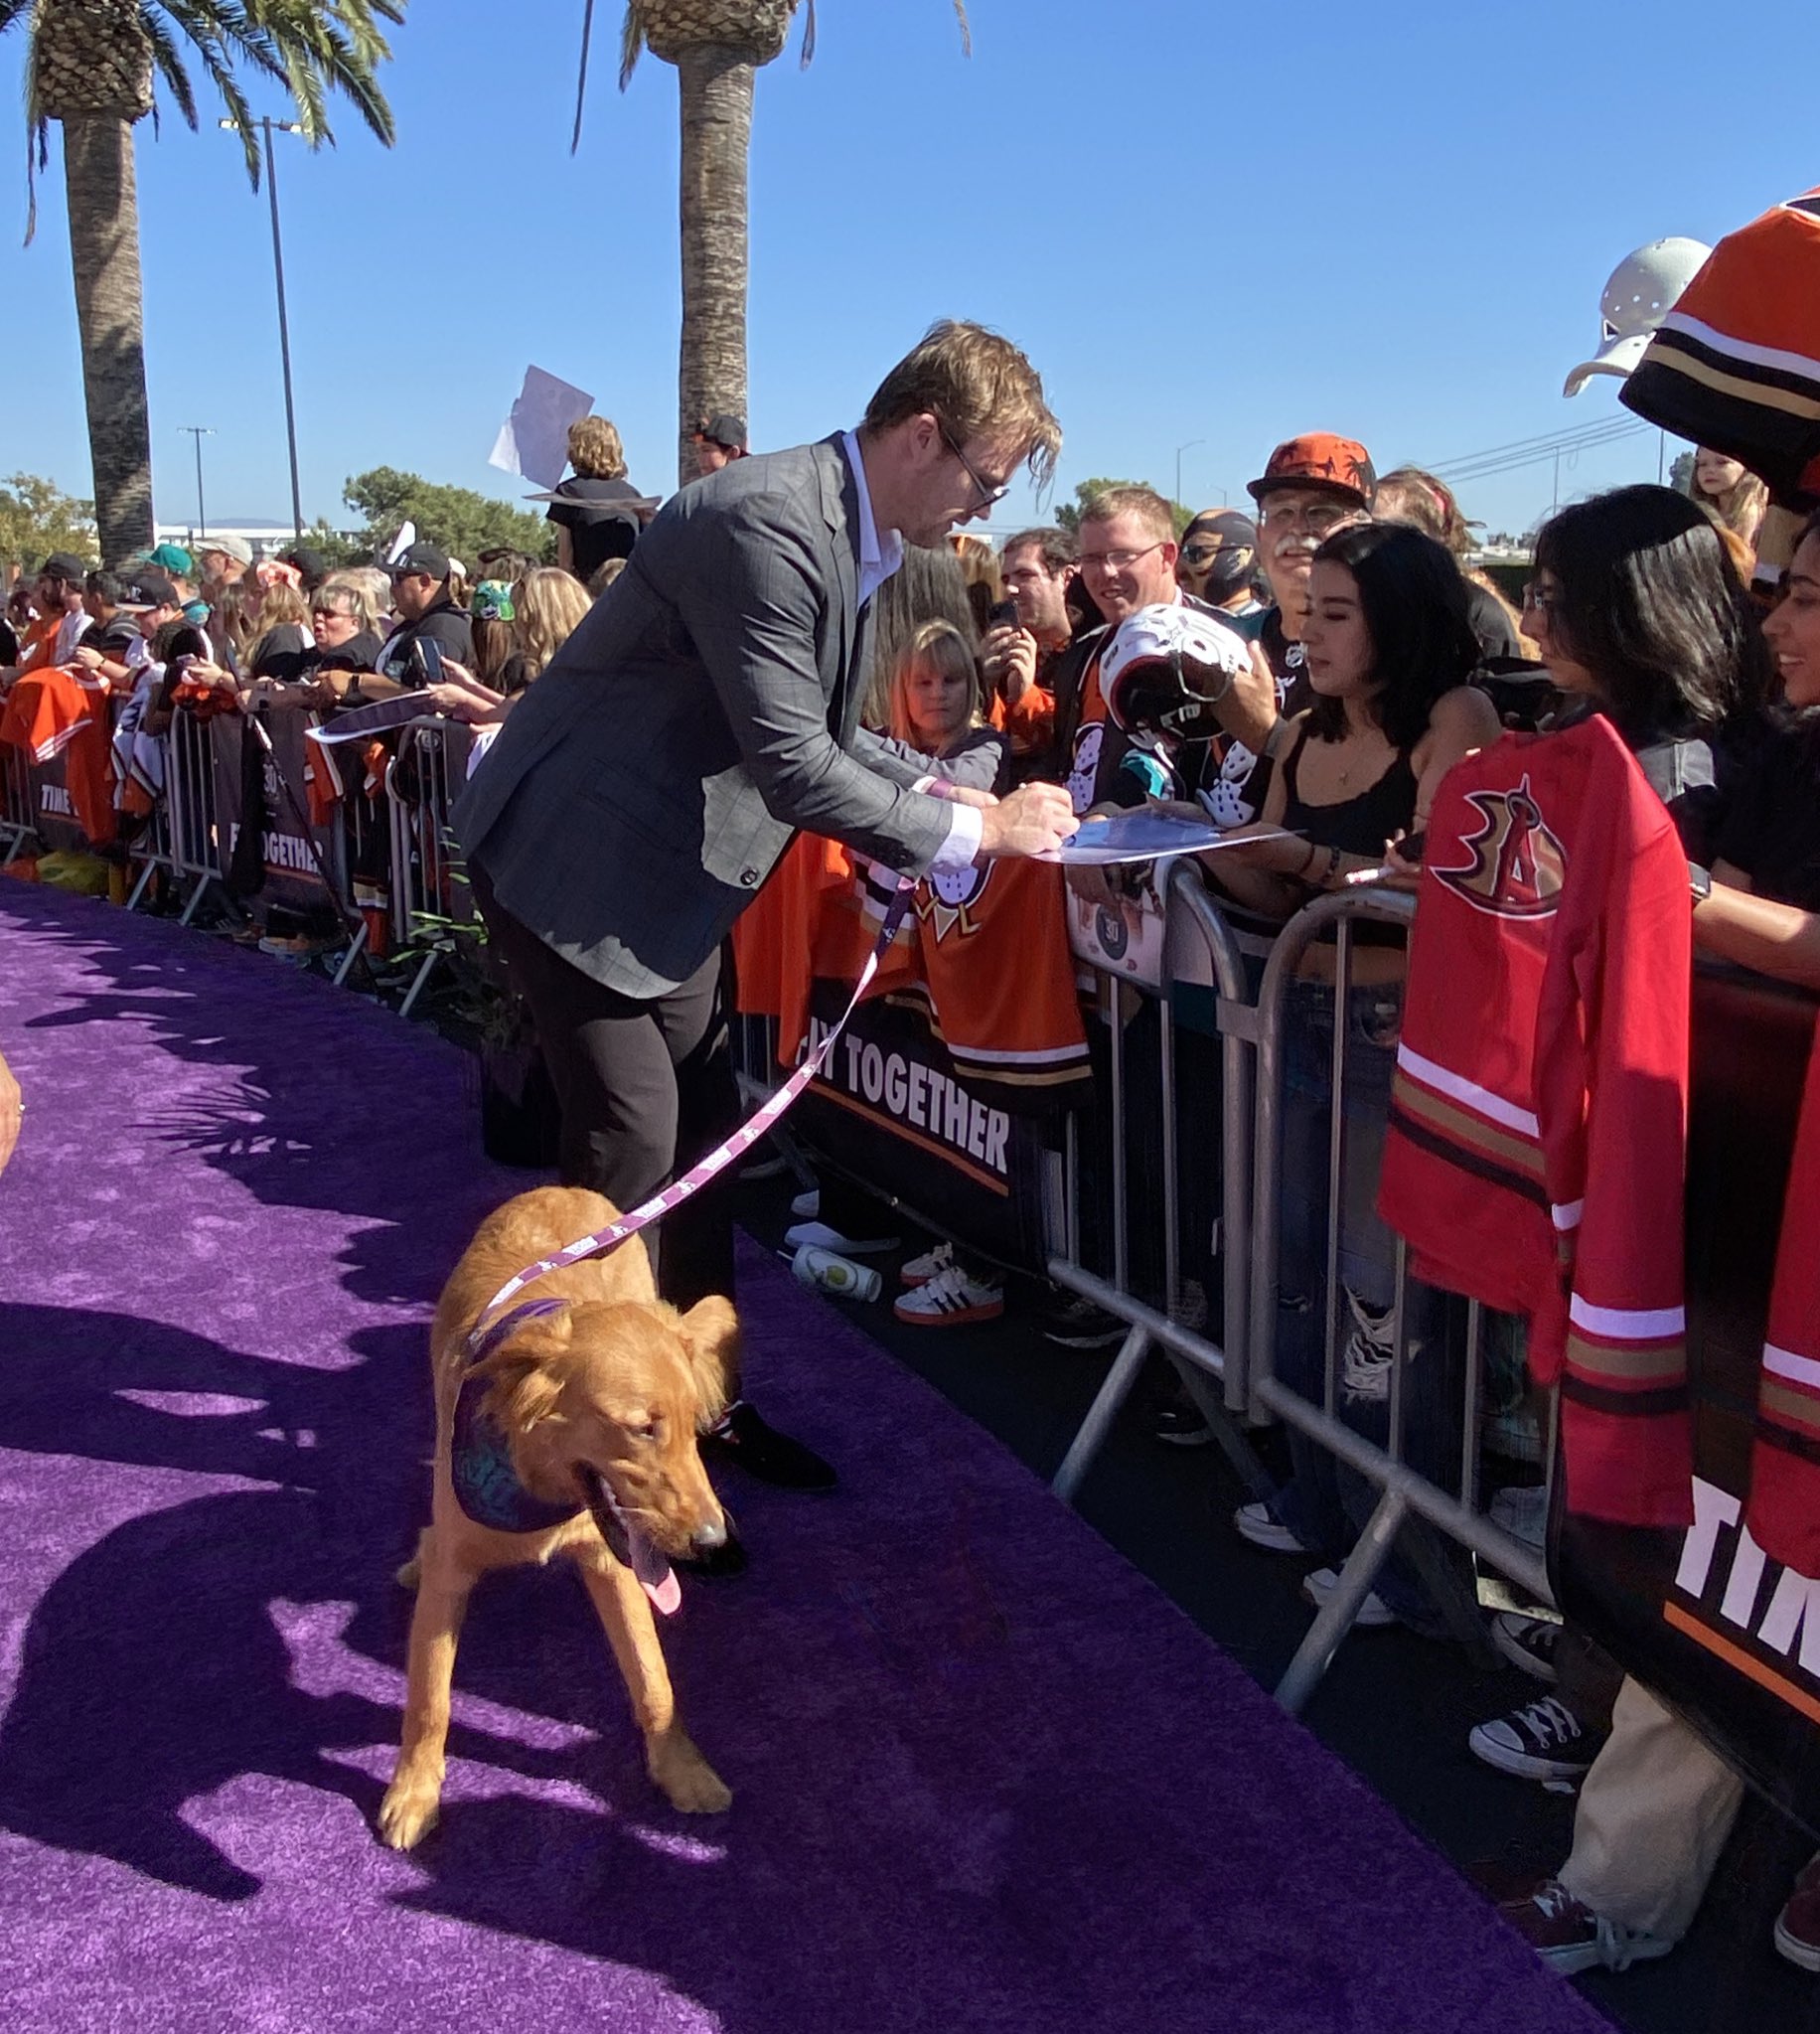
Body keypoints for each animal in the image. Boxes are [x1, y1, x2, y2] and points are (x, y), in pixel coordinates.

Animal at [378, 1179, 740, 1863]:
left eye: (692, 1428)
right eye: (640, 1428)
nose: (712, 1541)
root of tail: (564, 1187)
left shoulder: (617, 1564)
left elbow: (654, 1682)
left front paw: (681, 1770)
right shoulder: (451, 1573)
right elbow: (431, 1700)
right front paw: (415, 1793)